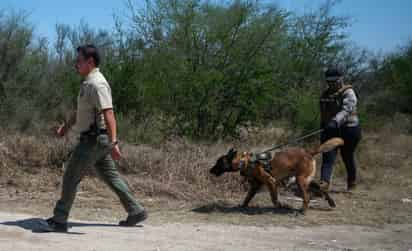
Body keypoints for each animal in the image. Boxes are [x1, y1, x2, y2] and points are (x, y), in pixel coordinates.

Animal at [209, 137, 344, 212]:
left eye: (219, 162)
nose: (210, 170)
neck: (245, 161)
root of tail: (308, 152)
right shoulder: (255, 186)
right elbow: (247, 197)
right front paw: (242, 206)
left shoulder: (271, 182)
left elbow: (274, 199)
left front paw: (281, 205)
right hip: (306, 180)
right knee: (322, 188)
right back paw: (331, 202)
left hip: (300, 181)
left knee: (307, 196)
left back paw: (302, 211)